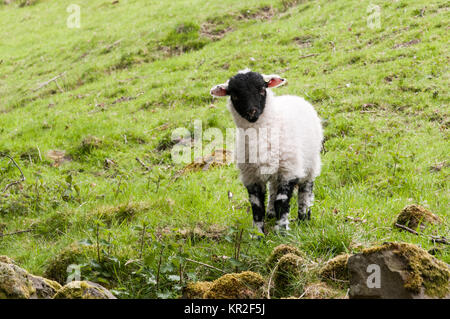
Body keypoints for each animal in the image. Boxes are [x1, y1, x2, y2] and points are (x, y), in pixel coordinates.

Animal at [211, 69, 324, 235]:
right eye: (235, 95)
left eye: (262, 90)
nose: (252, 112)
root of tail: (293, 97)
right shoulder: (251, 176)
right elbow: (257, 207)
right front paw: (257, 234)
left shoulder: (288, 170)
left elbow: (282, 202)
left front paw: (282, 231)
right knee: (272, 188)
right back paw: (271, 213)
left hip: (310, 162)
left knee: (306, 189)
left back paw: (304, 216)